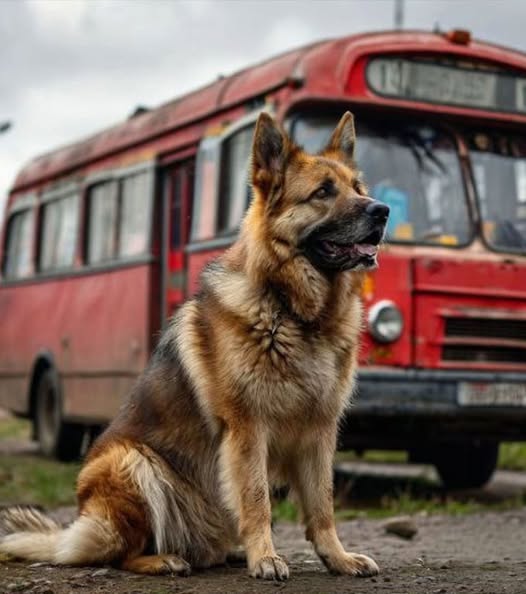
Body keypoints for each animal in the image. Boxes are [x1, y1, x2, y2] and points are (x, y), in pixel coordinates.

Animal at [1, 111, 388, 580]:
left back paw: (225, 552)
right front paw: (266, 557)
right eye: (323, 192)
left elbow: (322, 506)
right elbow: (257, 499)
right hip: (132, 462)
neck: (294, 312)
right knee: (120, 552)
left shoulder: (319, 431)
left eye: (358, 188)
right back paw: (165, 558)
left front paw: (338, 558)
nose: (383, 210)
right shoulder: (248, 428)